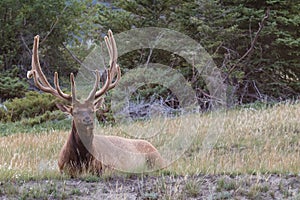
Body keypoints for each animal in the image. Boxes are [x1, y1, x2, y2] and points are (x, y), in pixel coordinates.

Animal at [26, 30, 164, 177]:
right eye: (75, 112)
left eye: (92, 110)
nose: (88, 120)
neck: (81, 161)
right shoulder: (62, 169)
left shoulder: (110, 167)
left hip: (157, 160)